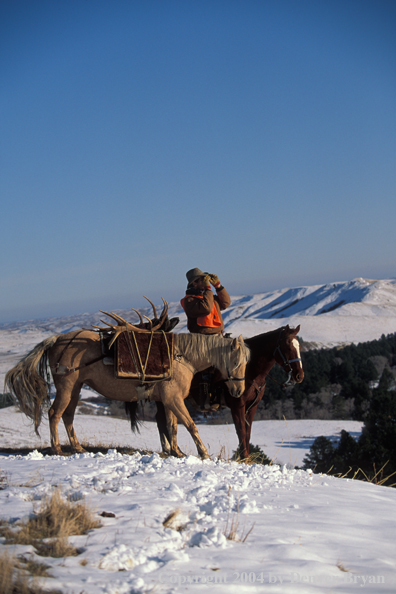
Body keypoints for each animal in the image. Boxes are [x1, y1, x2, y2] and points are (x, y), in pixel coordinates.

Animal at [4, 324, 249, 458]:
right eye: (237, 362)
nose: (239, 390)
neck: (182, 356)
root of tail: (57, 340)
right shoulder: (174, 399)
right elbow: (190, 425)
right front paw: (203, 452)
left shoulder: (169, 400)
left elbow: (172, 426)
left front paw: (176, 452)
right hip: (66, 387)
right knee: (55, 414)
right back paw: (57, 448)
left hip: (75, 389)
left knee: (68, 416)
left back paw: (78, 447)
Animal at [133, 324, 304, 458]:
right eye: (287, 345)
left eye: (299, 346)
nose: (299, 375)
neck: (250, 370)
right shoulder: (237, 407)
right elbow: (241, 432)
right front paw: (244, 458)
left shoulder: (252, 407)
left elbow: (247, 434)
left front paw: (246, 457)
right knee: (161, 419)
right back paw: (171, 449)